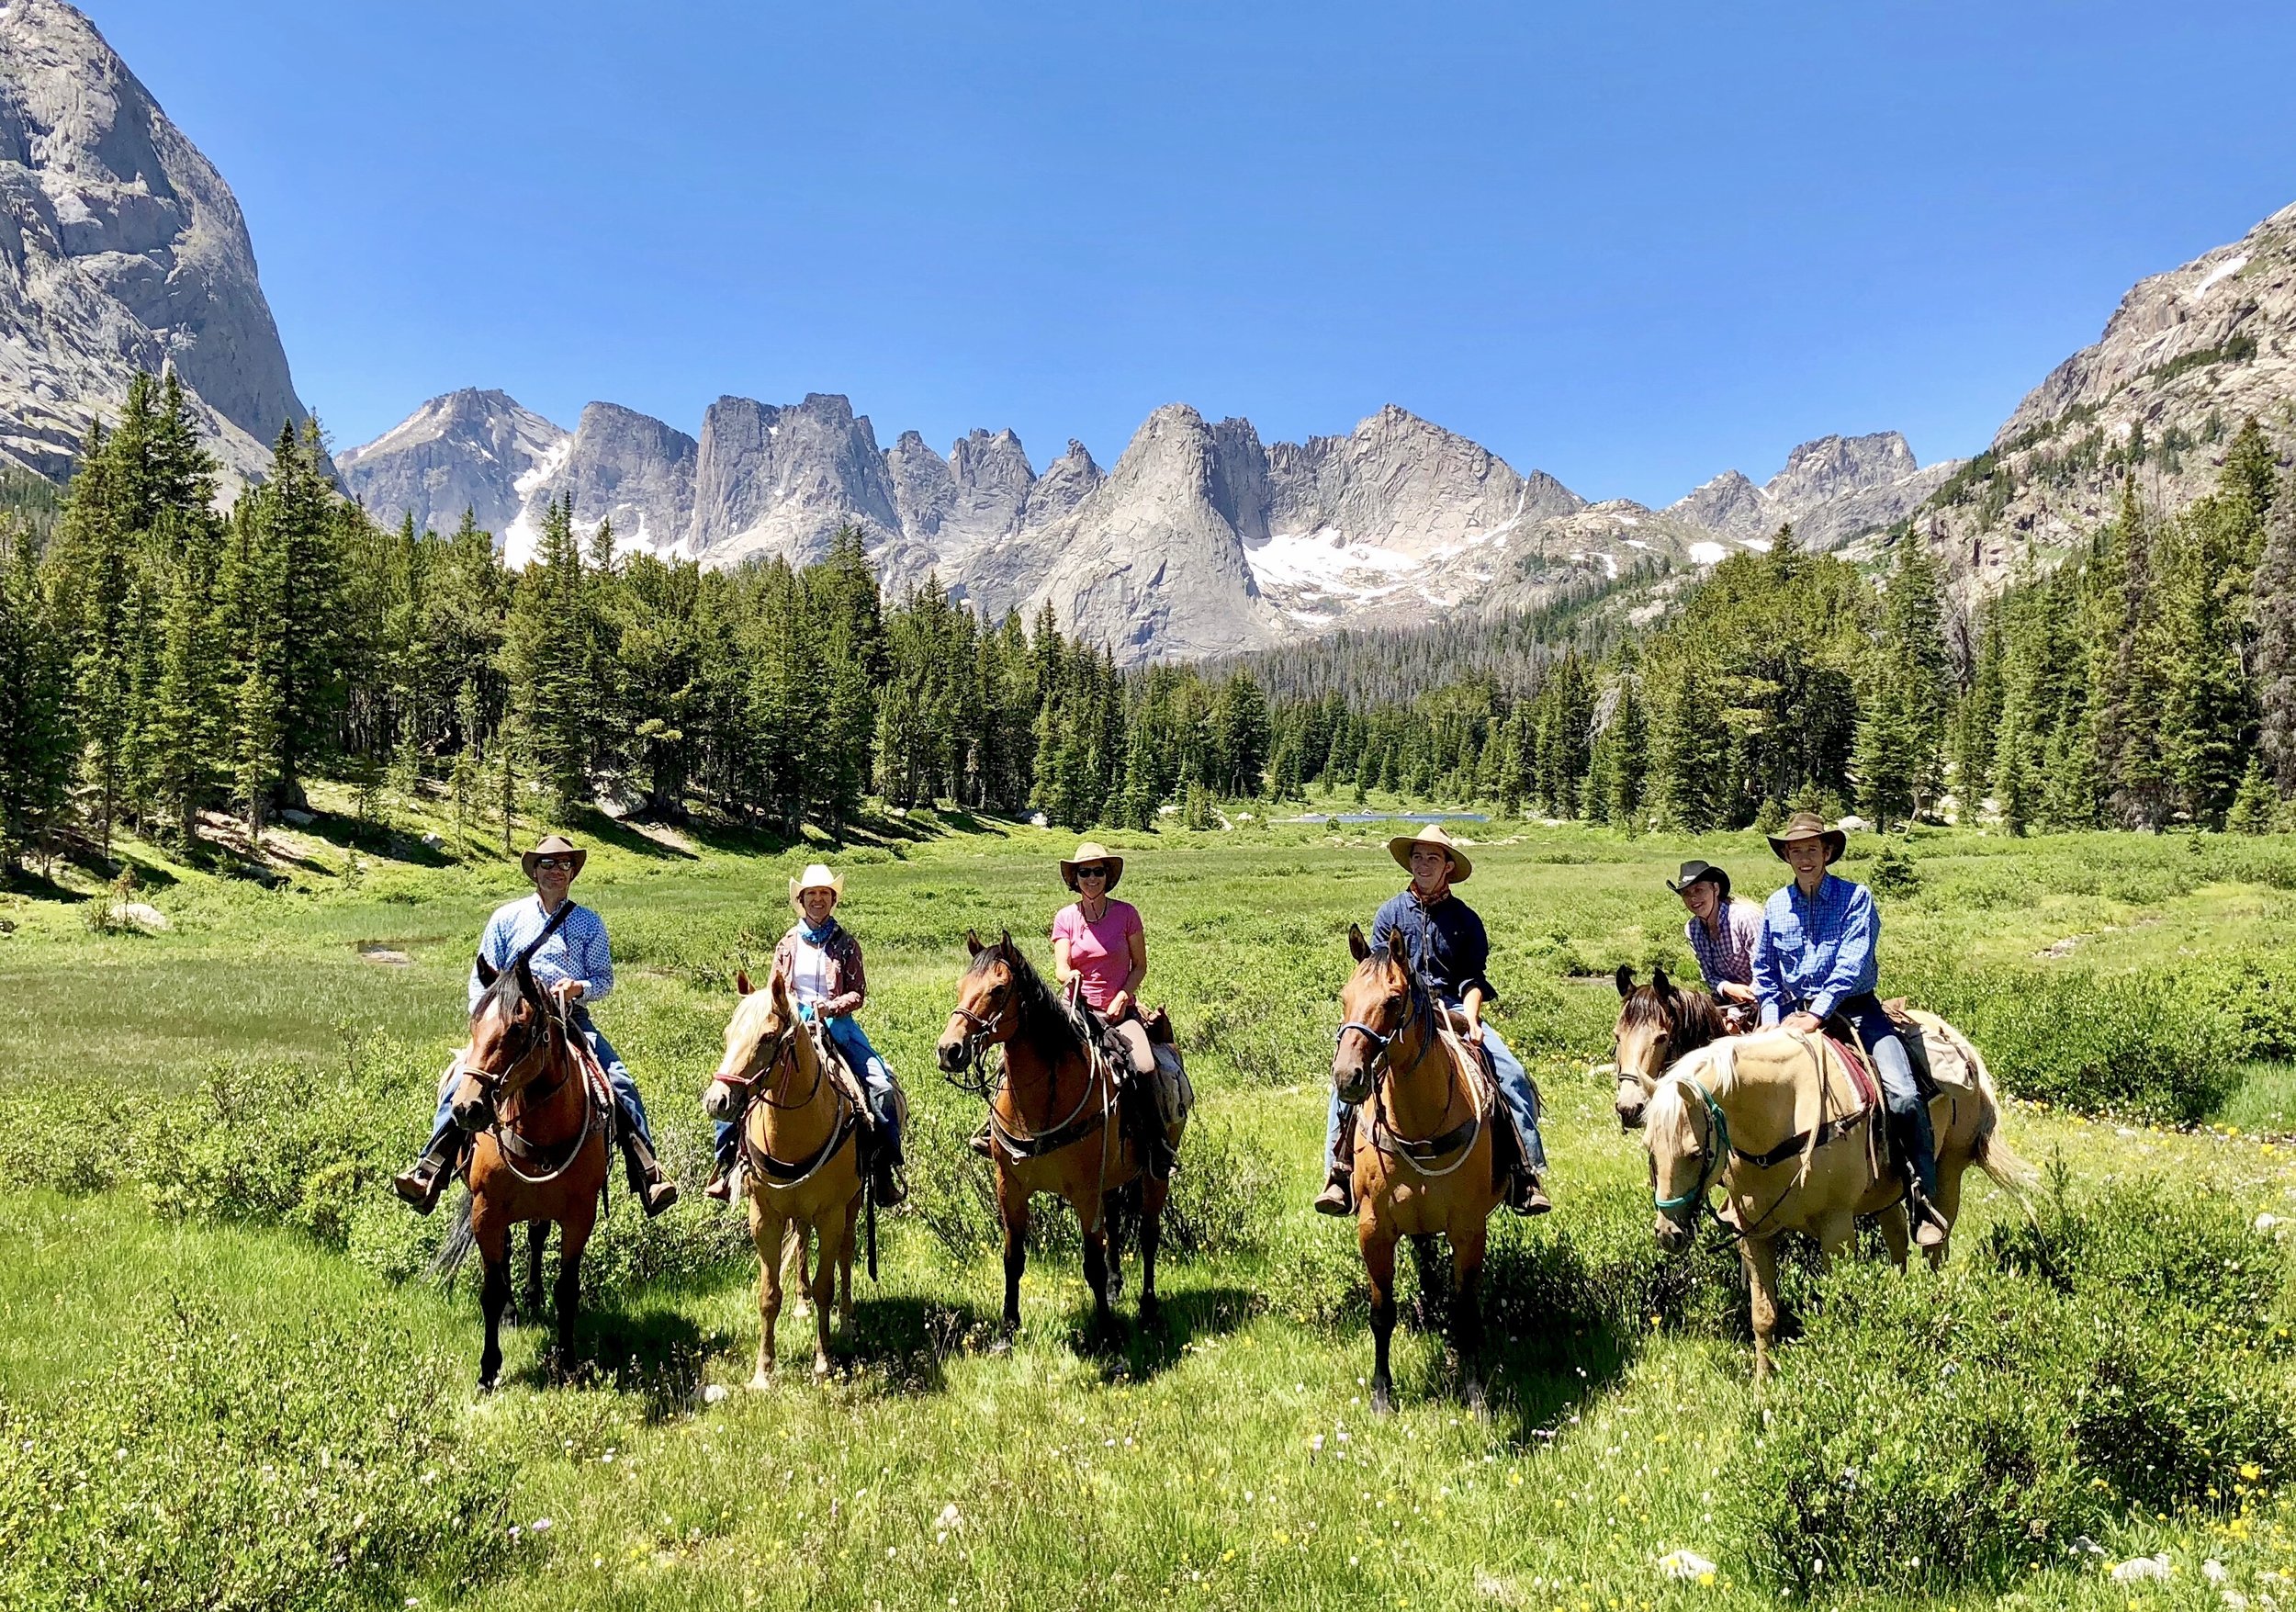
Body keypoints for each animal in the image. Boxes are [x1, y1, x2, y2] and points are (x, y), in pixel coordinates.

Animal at [445, 955, 611, 1396]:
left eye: (517, 1029)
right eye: (474, 1023)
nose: (467, 1108)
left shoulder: (580, 1214)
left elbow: (567, 1290)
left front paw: (568, 1362)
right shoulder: (485, 1212)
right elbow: (490, 1290)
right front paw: (488, 1370)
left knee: (536, 1236)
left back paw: (533, 1298)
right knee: (507, 1250)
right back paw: (513, 1310)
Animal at [698, 964, 863, 1387]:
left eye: (769, 1037)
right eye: (729, 1033)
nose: (716, 1101)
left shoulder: (830, 1214)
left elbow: (826, 1286)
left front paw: (823, 1361)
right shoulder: (764, 1216)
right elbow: (768, 1294)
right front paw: (763, 1371)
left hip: (852, 1205)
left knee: (846, 1254)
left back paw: (847, 1320)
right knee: (802, 1243)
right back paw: (801, 1304)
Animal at [932, 928, 1185, 1341]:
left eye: (998, 989)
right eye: (960, 986)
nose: (949, 1050)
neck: (1040, 1104)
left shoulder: (1083, 1190)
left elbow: (1091, 1263)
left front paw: (1108, 1335)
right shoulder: (1010, 1187)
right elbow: (1013, 1258)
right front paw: (1007, 1330)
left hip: (1154, 1173)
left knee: (1149, 1234)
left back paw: (1148, 1310)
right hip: (1110, 1178)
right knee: (1115, 1221)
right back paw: (1115, 1287)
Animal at [1332, 928, 1506, 1424]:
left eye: (1393, 1000)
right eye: (1344, 997)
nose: (1347, 1077)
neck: (1418, 1122)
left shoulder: (1468, 1229)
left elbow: (1465, 1313)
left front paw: (1474, 1394)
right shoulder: (1373, 1228)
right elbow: (1381, 1314)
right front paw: (1381, 1395)